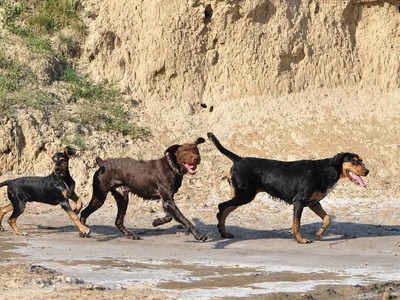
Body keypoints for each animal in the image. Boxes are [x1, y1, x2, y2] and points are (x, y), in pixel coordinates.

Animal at [80, 138, 208, 241]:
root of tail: (103, 163)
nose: (197, 158)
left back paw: (130, 235)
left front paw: (156, 222)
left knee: (118, 221)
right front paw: (199, 235)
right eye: (185, 151)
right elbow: (184, 219)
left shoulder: (167, 200)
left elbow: (169, 216)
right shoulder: (168, 200)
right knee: (84, 212)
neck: (172, 167)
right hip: (99, 197)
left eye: (196, 150)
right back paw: (83, 231)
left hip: (122, 198)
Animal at [208, 133, 370, 244]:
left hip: (241, 194)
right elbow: (296, 224)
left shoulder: (313, 203)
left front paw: (319, 234)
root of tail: (239, 159)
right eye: (354, 161)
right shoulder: (299, 201)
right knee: (222, 207)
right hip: (245, 194)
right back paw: (222, 232)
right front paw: (301, 240)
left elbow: (327, 219)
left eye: (361, 161)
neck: (327, 170)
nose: (367, 171)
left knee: (224, 210)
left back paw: (224, 233)